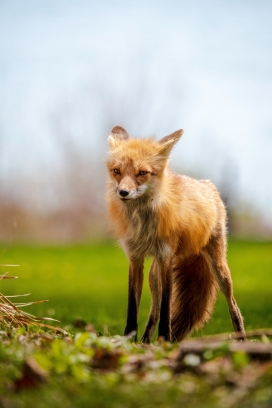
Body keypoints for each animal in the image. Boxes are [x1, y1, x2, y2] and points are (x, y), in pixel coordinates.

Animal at [105, 126, 244, 342]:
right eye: (116, 171)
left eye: (142, 173)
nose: (123, 192)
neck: (143, 224)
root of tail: (207, 184)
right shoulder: (135, 259)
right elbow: (133, 309)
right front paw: (129, 340)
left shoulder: (166, 259)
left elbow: (166, 310)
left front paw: (165, 340)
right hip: (153, 276)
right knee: (153, 312)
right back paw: (145, 342)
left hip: (219, 269)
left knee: (234, 307)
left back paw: (243, 339)